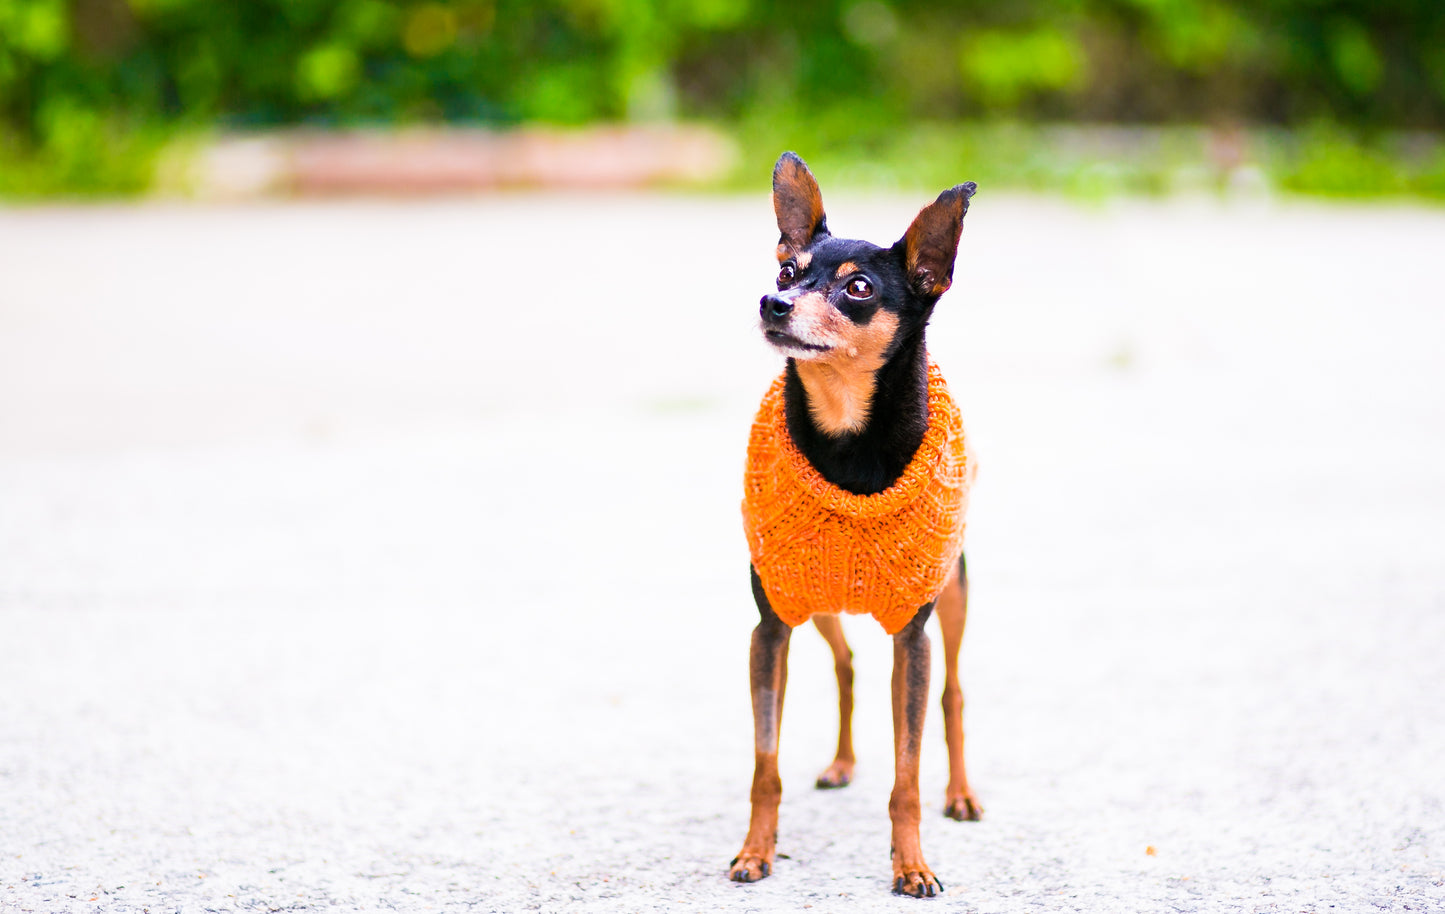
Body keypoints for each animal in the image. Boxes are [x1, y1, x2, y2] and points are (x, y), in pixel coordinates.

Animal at [734, 153, 982, 895]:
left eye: (859, 288)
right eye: (788, 271)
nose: (773, 303)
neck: (847, 435)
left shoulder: (913, 635)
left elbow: (907, 774)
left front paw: (912, 866)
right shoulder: (769, 626)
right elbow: (765, 765)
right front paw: (755, 851)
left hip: (953, 598)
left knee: (953, 695)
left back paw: (961, 793)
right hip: (815, 604)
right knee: (844, 665)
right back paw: (842, 762)